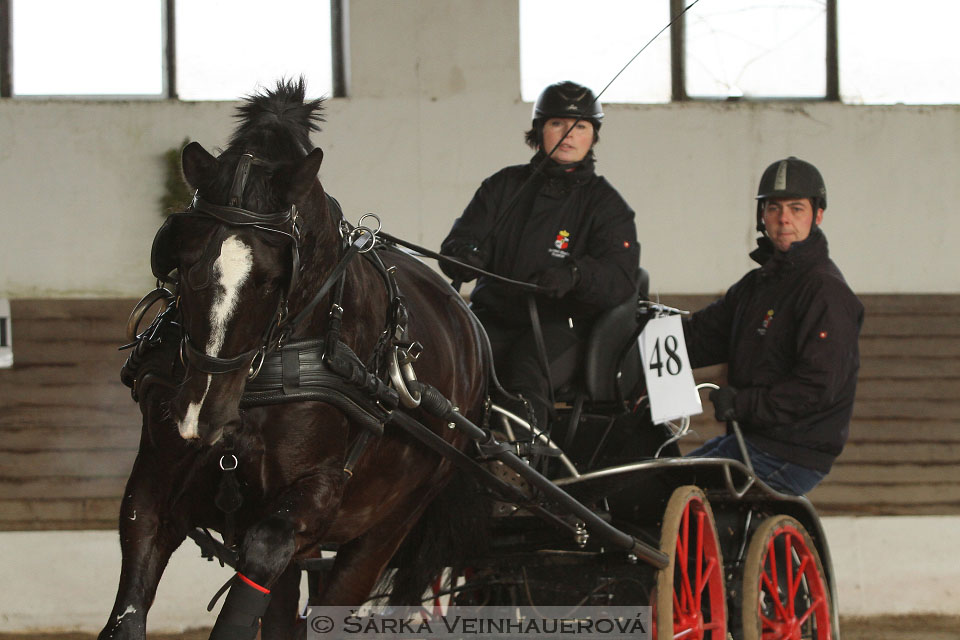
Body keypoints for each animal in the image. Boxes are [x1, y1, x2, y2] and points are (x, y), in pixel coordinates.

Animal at [99, 80, 488, 640]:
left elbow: (265, 549)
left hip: (390, 523)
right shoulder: (154, 485)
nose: (200, 415)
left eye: (271, 277)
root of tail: (467, 321)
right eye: (186, 262)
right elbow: (128, 606)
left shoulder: (317, 496)